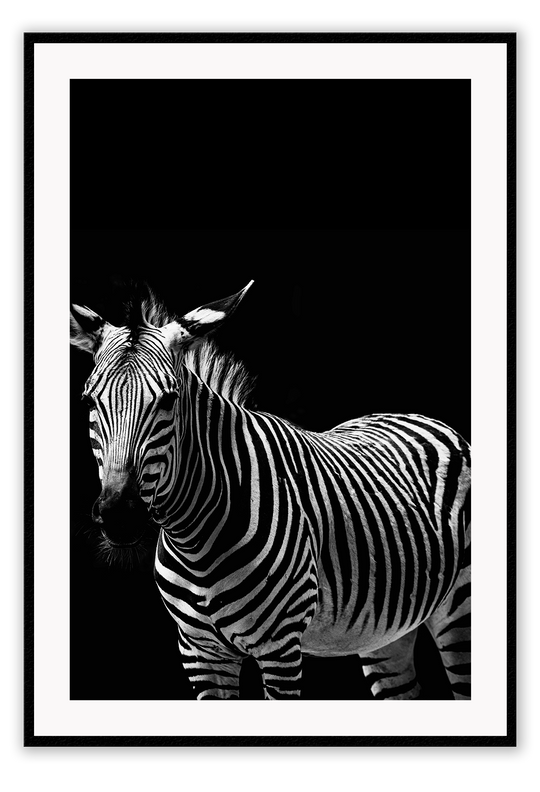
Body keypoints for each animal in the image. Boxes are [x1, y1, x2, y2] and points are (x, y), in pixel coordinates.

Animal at [70, 281, 471, 701]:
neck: (194, 537)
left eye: (169, 399)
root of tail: (413, 414)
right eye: (87, 400)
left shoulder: (280, 647)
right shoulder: (199, 653)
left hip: (460, 611)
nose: (119, 514)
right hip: (385, 629)